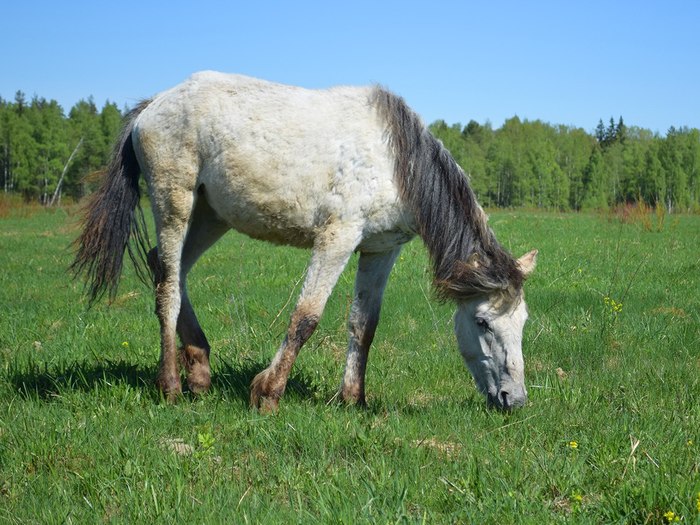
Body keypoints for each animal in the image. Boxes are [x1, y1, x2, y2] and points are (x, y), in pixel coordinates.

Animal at [71, 71, 540, 412]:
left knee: (167, 269)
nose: (514, 400)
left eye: (522, 321)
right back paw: (170, 385)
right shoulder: (337, 239)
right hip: (174, 201)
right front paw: (267, 394)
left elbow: (364, 325)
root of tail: (152, 106)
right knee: (167, 286)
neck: (395, 161)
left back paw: (200, 371)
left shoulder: (380, 250)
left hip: (210, 216)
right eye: (482, 322)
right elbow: (306, 318)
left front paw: (353, 400)